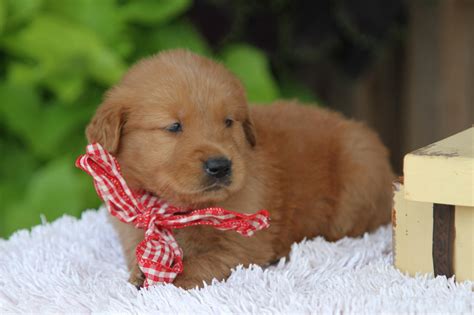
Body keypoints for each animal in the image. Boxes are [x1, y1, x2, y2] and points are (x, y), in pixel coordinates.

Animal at [85, 50, 392, 292]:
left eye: (228, 121)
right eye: (174, 126)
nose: (220, 166)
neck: (178, 210)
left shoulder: (244, 244)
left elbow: (206, 260)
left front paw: (170, 275)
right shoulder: (134, 232)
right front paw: (144, 273)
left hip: (358, 176)